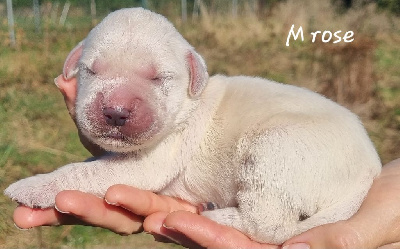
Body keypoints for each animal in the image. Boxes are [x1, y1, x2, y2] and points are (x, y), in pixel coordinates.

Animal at [5, 7, 382, 243]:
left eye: (158, 77)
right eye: (91, 70)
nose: (115, 111)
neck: (189, 104)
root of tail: (370, 170)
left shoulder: (153, 159)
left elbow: (83, 172)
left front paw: (32, 185)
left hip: (274, 150)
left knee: (269, 225)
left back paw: (215, 217)